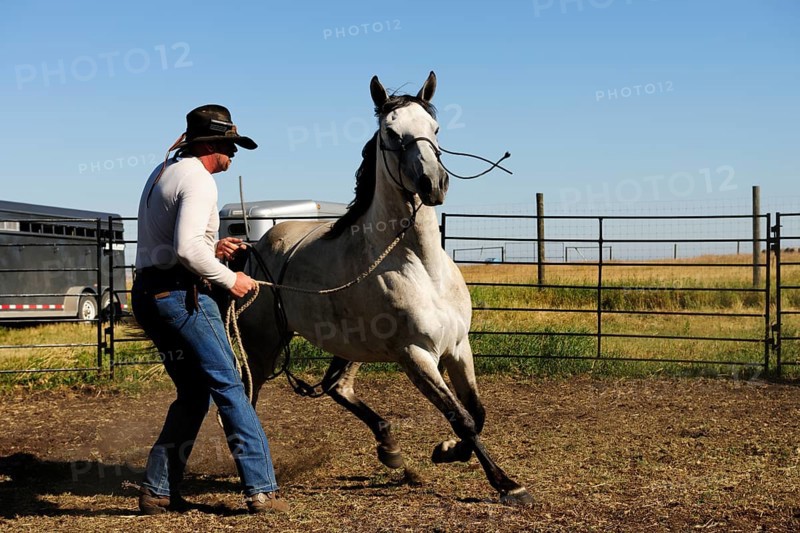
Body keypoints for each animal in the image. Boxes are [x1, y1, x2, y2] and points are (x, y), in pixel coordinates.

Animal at [236, 71, 532, 506]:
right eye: (391, 133)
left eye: (435, 128)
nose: (434, 183)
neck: (421, 267)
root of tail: (256, 248)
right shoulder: (415, 355)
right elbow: (460, 417)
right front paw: (507, 483)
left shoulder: (458, 347)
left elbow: (477, 413)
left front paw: (446, 452)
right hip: (263, 345)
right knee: (249, 396)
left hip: (349, 345)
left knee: (337, 386)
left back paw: (389, 449)